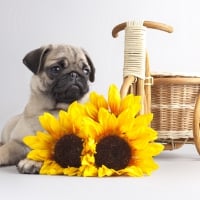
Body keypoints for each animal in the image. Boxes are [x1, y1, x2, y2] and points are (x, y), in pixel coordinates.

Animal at [0, 44, 95, 173]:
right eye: (56, 69)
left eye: (86, 71)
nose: (75, 73)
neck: (52, 110)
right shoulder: (17, 143)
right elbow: (5, 150)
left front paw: (32, 161)